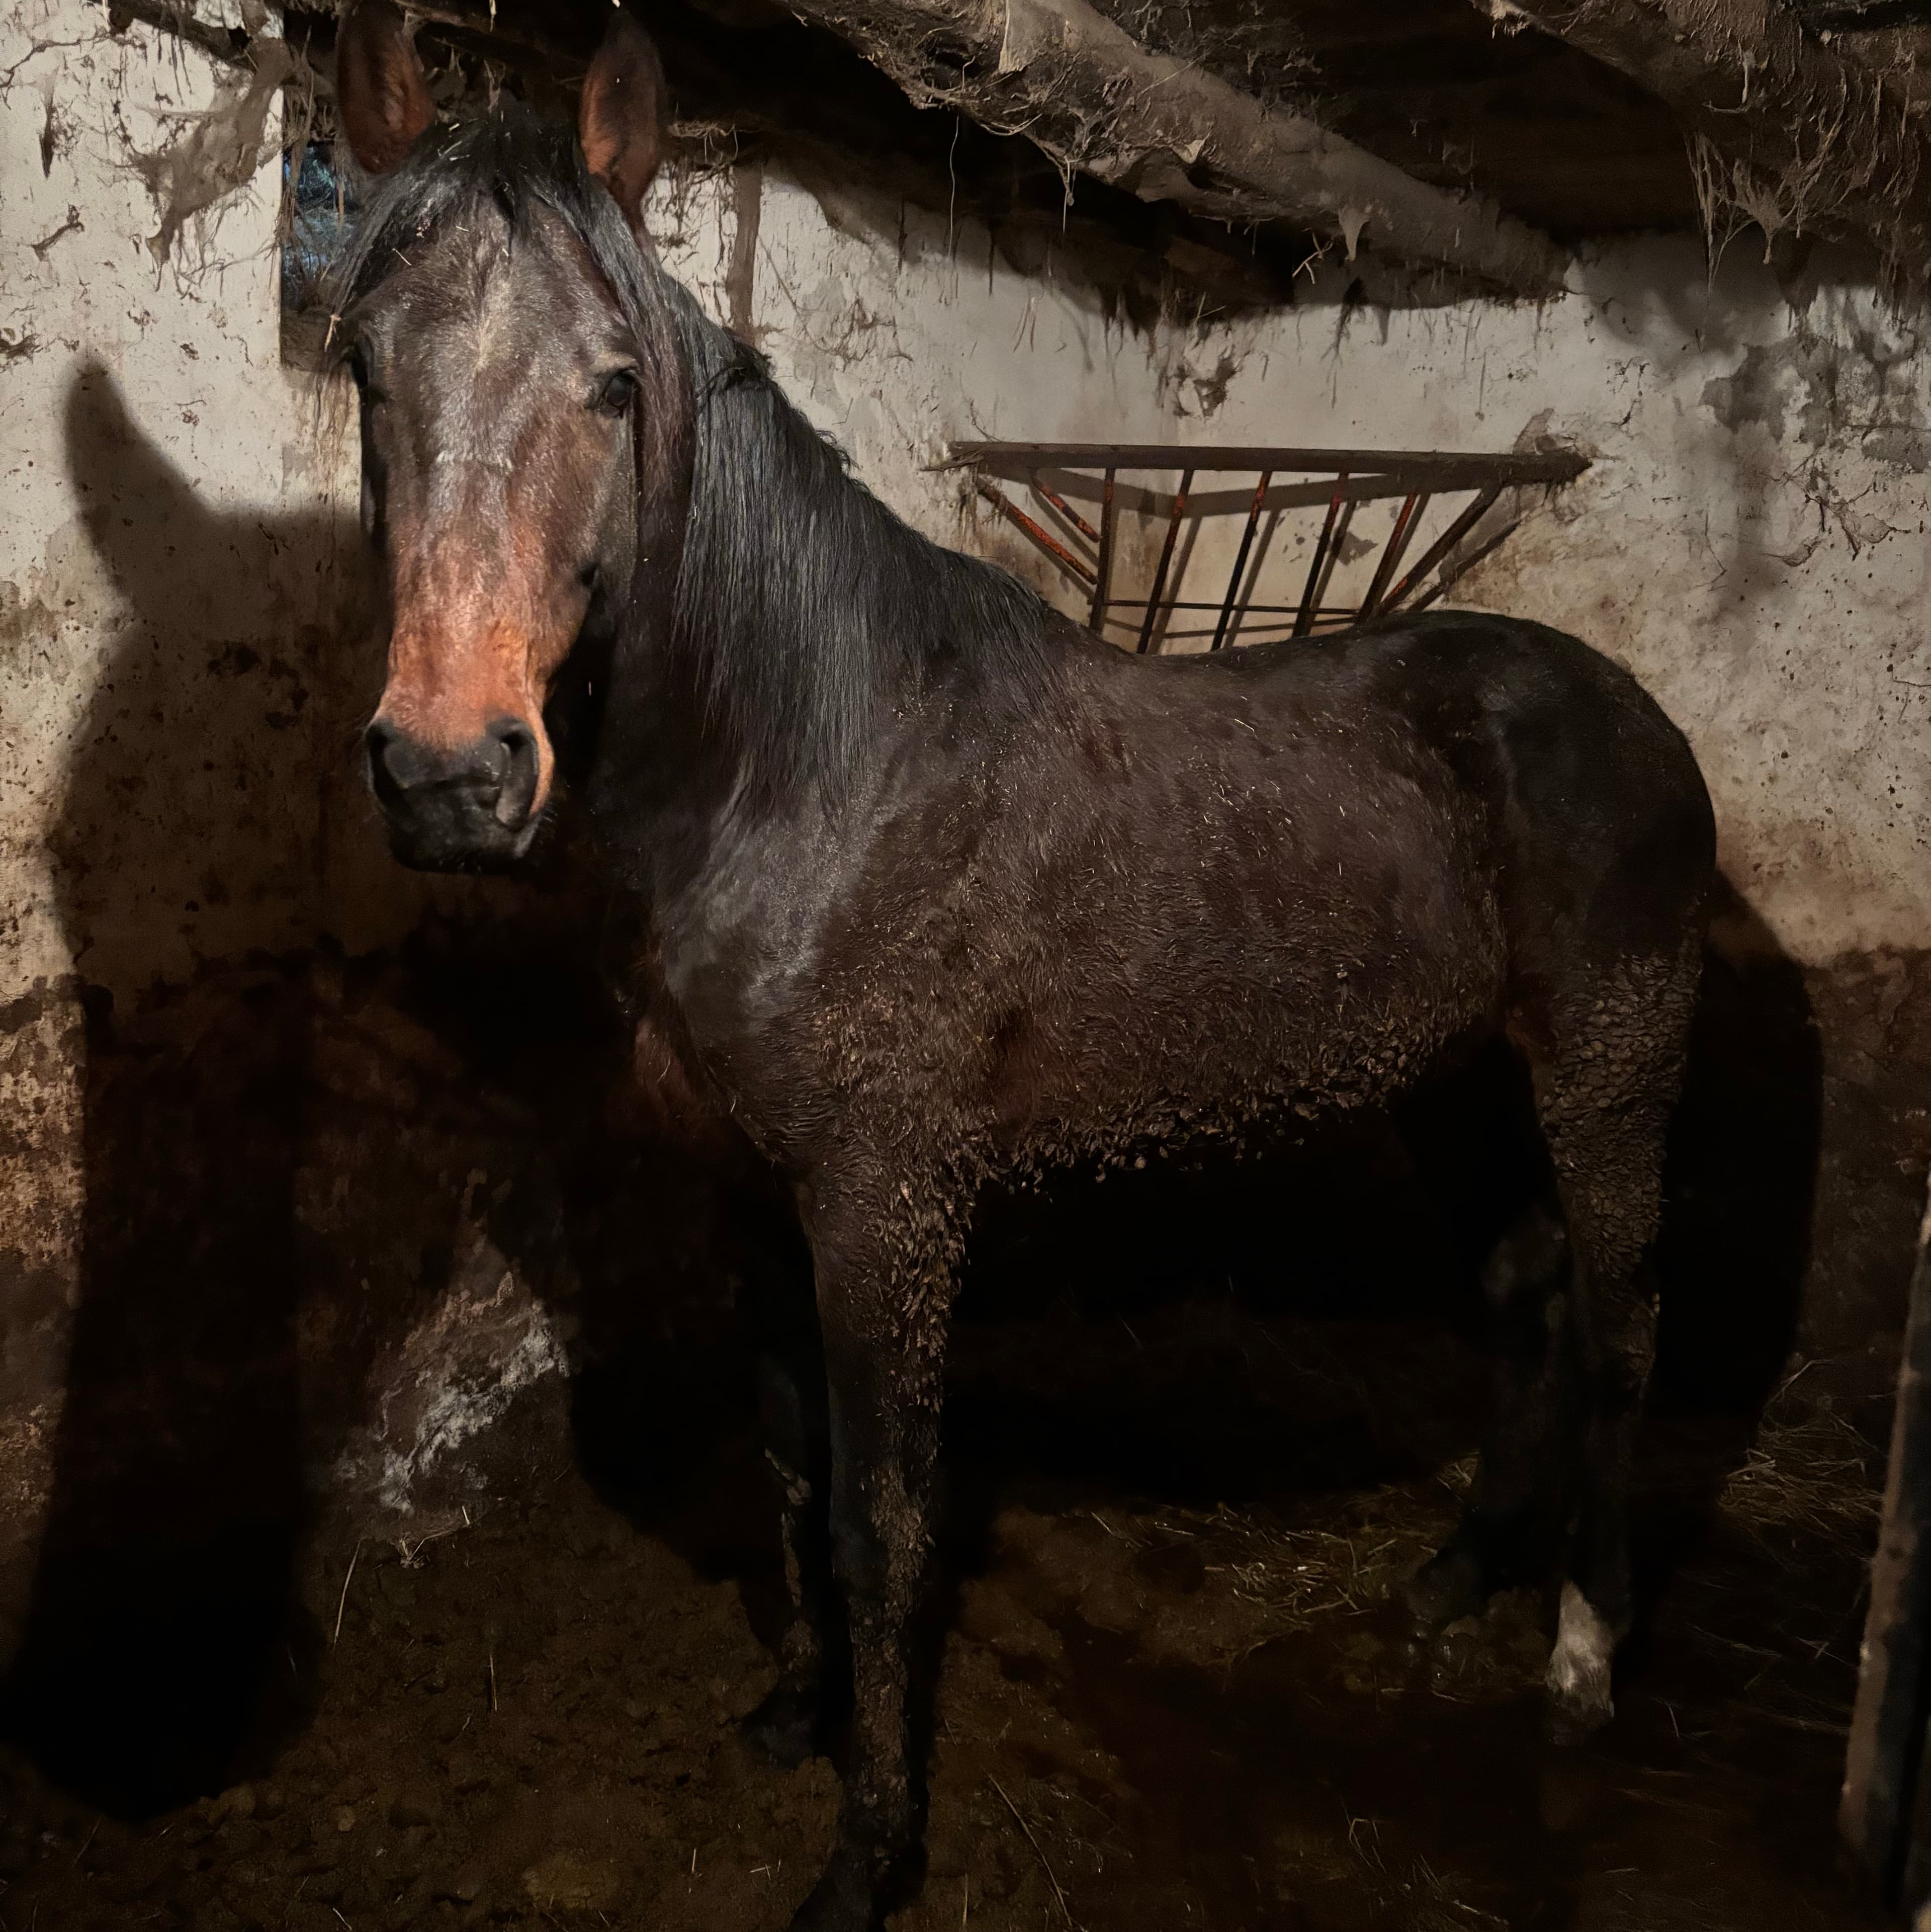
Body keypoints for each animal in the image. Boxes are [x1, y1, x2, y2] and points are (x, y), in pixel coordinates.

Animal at [328, 5, 1716, 1924]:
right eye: (362, 370)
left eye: (613, 385)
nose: (453, 773)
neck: (806, 766)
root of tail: (1628, 716)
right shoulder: (757, 1192)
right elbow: (787, 1460)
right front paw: (795, 1713)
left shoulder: (887, 1206)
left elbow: (882, 1510)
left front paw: (869, 1849)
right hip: (1454, 1084)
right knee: (1524, 1302)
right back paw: (1448, 1584)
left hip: (1606, 1064)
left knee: (1623, 1323)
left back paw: (1582, 1655)